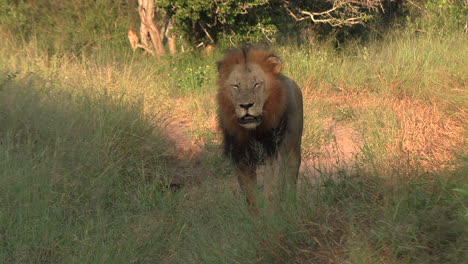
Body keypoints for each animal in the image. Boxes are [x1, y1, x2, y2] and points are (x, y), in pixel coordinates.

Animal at [216, 47, 304, 207]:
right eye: (236, 86)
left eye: (256, 84)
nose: (246, 105)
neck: (253, 132)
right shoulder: (242, 159)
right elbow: (250, 197)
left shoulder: (273, 153)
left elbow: (271, 191)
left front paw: (272, 211)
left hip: (294, 148)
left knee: (291, 179)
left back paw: (291, 204)